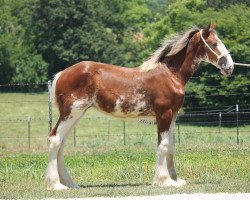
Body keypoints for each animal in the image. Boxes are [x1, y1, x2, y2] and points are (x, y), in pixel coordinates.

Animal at [45, 23, 234, 189]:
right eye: (214, 43)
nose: (230, 66)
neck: (170, 74)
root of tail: (61, 74)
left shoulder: (173, 115)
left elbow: (171, 146)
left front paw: (175, 179)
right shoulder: (164, 114)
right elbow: (163, 146)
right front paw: (164, 181)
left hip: (76, 114)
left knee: (61, 143)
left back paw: (69, 183)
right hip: (71, 112)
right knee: (55, 140)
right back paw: (56, 185)